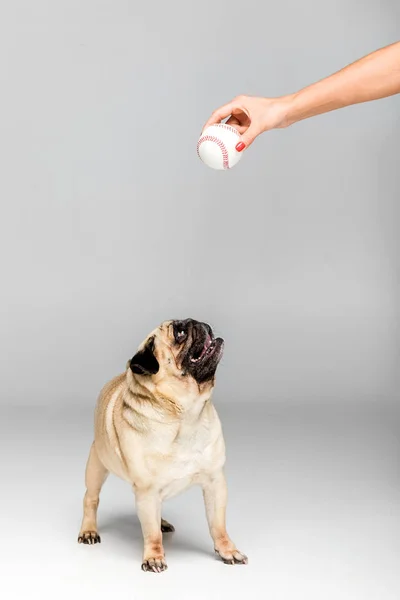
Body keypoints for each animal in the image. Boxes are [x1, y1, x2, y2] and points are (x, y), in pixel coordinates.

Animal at [77, 318, 247, 572]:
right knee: (91, 499)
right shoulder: (147, 491)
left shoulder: (215, 482)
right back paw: (88, 530)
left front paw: (227, 550)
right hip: (97, 466)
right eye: (180, 332)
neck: (186, 415)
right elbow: (151, 534)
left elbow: (218, 525)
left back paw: (163, 523)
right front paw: (153, 557)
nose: (201, 324)